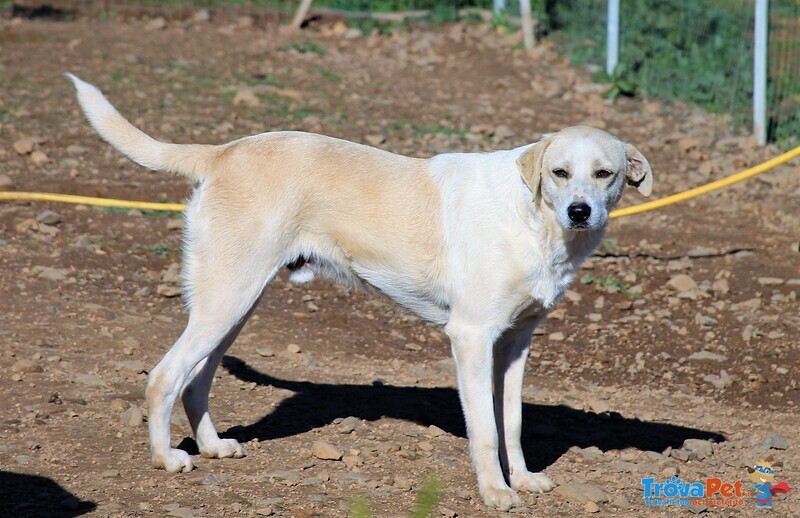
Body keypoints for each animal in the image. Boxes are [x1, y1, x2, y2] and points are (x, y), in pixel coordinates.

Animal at [69, 73, 652, 512]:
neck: (532, 216)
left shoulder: (515, 345)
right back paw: (167, 458)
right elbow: (485, 430)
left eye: (605, 174)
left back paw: (212, 446)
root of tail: (224, 152)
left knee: (197, 379)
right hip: (226, 300)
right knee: (164, 376)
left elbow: (510, 422)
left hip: (235, 306)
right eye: (560, 173)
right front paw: (494, 492)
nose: (581, 211)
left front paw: (524, 479)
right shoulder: (471, 338)